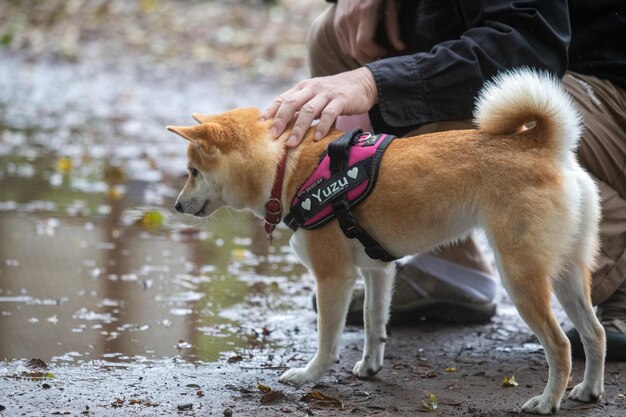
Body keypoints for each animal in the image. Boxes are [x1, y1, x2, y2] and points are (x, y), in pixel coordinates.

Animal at [167, 70, 604, 414]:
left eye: (193, 171)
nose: (175, 205)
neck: (285, 165)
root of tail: (542, 145)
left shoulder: (333, 278)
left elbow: (328, 338)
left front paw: (310, 374)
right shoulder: (378, 270)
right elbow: (373, 321)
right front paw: (370, 366)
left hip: (520, 277)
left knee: (561, 345)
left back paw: (548, 401)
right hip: (567, 273)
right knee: (593, 333)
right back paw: (588, 390)